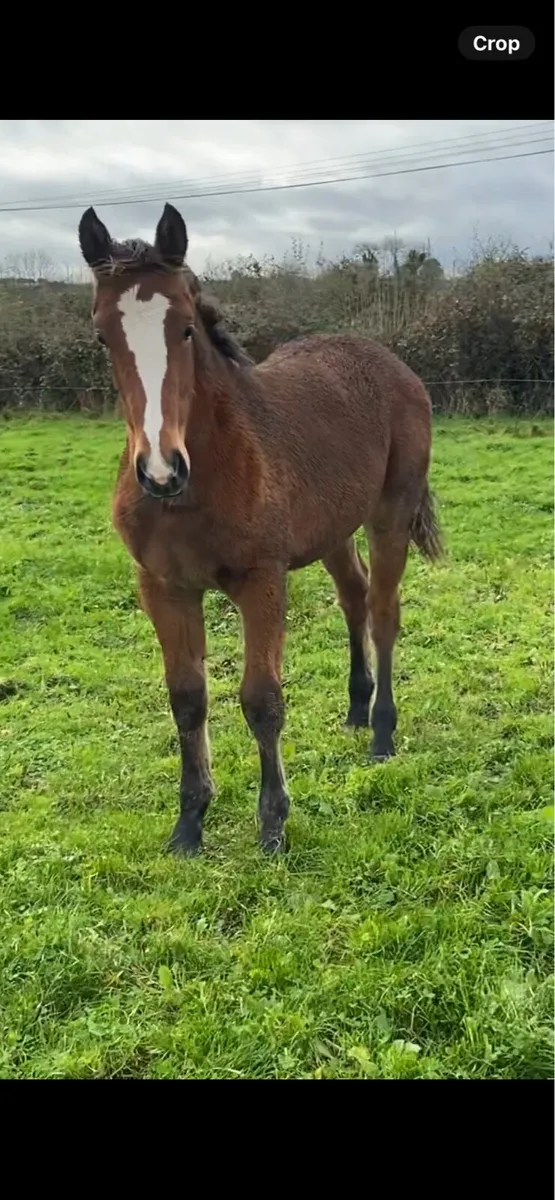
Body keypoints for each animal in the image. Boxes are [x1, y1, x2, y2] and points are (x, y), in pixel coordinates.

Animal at [78, 202, 442, 856]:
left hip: (391, 513)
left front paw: (272, 823)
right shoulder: (163, 587)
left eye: (186, 328)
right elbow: (187, 698)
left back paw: (381, 734)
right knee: (353, 595)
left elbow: (262, 699)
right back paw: (356, 709)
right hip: (332, 528)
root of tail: (391, 362)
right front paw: (189, 823)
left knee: (382, 610)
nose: (160, 470)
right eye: (103, 335)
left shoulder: (262, 580)